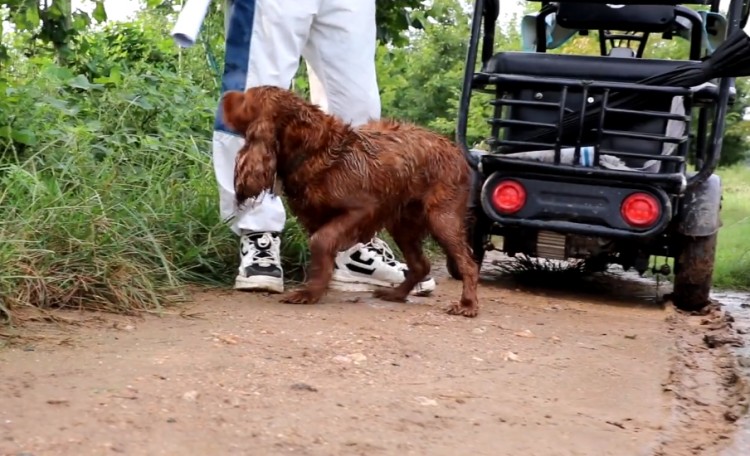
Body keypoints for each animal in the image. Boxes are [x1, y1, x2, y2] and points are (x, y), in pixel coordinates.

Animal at [223, 87, 482, 318]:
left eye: (245, 99)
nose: (225, 95)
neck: (315, 149)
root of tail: (457, 150)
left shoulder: (362, 210)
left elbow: (321, 242)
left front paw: (309, 292)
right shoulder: (318, 217)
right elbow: (322, 254)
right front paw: (317, 287)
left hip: (442, 218)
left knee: (468, 264)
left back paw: (467, 305)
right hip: (403, 225)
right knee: (421, 265)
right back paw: (397, 294)